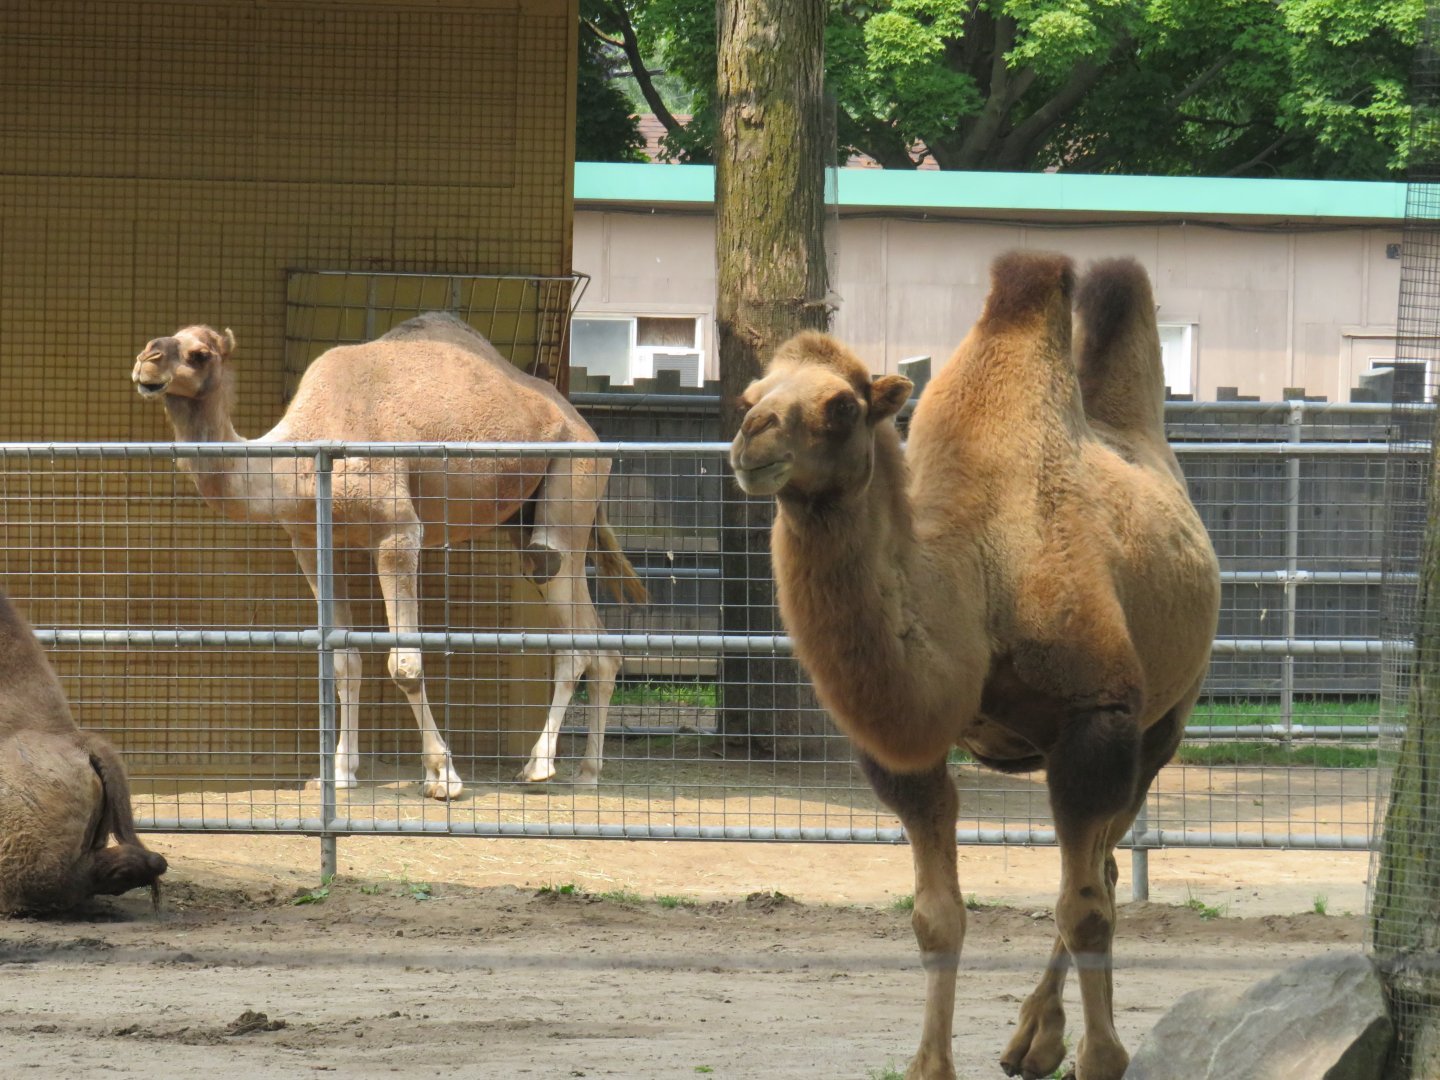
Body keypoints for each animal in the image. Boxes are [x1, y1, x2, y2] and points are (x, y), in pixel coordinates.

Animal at [132, 312, 646, 801]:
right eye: (163, 338)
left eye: (200, 353)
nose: (146, 361)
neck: (297, 461)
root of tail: (585, 425)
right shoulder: (311, 542)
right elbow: (343, 660)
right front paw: (338, 775)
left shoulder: (398, 532)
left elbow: (405, 665)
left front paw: (442, 776)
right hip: (523, 515)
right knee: (595, 638)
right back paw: (585, 772)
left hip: (573, 477)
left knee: (568, 609)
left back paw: (541, 766)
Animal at [729, 253, 1220, 1080]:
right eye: (750, 395)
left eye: (840, 405)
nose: (749, 440)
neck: (977, 584)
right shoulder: (909, 753)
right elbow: (936, 917)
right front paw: (931, 1064)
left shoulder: (1098, 717)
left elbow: (1084, 909)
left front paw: (1102, 1059)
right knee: (1098, 872)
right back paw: (1033, 1039)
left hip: (1163, 723)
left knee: (1099, 875)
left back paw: (1048, 1038)